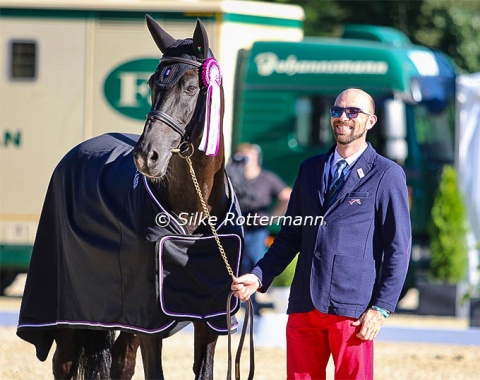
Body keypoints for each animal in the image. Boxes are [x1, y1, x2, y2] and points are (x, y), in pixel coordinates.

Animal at [16, 15, 242, 380]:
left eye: (191, 87)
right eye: (151, 83)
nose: (146, 156)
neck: (192, 212)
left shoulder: (209, 319)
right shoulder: (150, 323)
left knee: (121, 362)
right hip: (70, 318)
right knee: (64, 363)